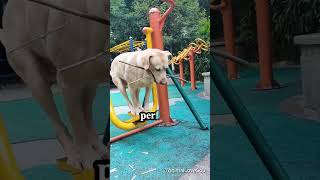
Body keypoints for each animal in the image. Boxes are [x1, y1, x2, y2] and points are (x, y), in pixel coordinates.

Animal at [0, 0, 109, 169]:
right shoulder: (69, 82)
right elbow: (78, 125)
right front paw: (87, 158)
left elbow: (84, 120)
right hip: (33, 74)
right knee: (59, 119)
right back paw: (73, 154)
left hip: (90, 83)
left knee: (87, 114)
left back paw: (99, 148)